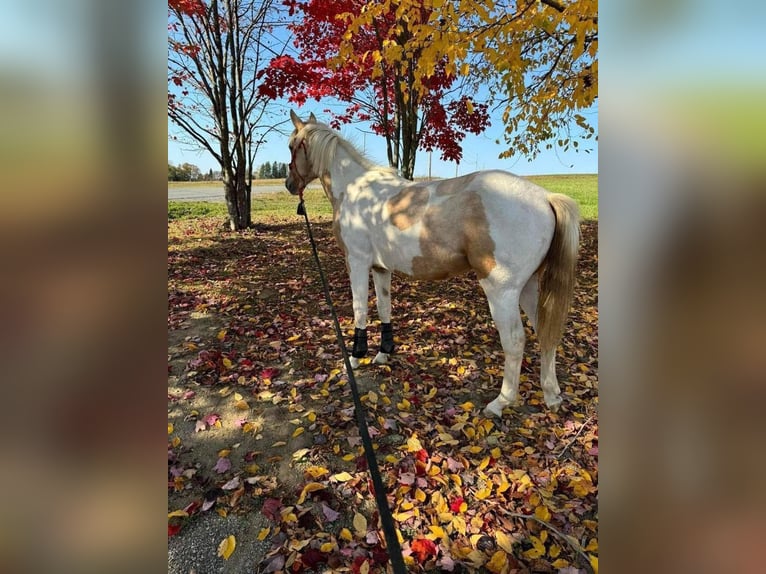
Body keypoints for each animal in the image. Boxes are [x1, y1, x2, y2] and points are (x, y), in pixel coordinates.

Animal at [285, 110, 581, 416]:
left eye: (291, 146)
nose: (289, 185)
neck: (357, 190)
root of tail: (545, 197)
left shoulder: (356, 262)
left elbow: (360, 310)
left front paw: (355, 358)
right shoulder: (381, 268)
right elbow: (383, 307)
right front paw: (383, 352)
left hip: (503, 291)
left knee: (514, 341)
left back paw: (500, 402)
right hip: (529, 287)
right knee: (545, 331)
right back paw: (551, 395)